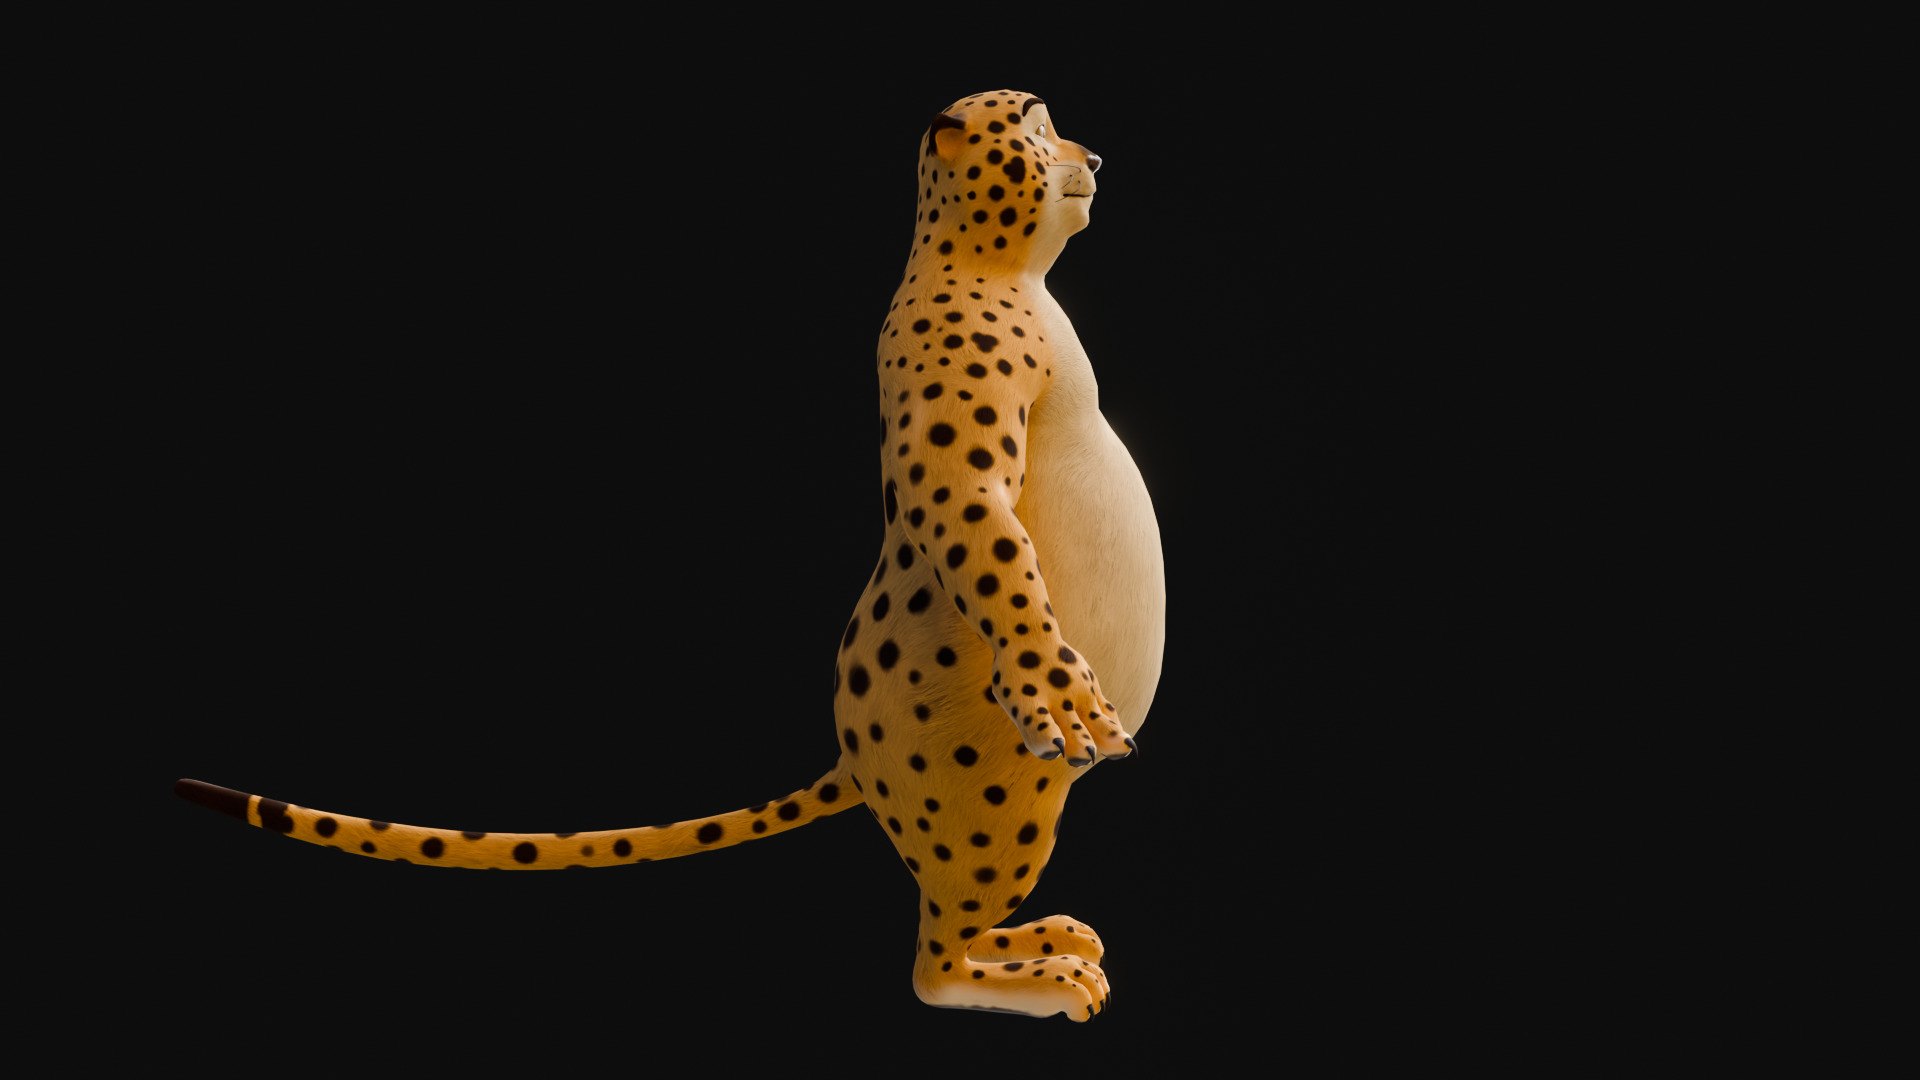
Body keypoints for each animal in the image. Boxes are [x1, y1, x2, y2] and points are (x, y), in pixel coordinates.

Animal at [176, 89, 1166, 1022]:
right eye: (1036, 124)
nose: (1093, 157)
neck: (996, 265)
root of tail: (851, 755)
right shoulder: (957, 458)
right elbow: (984, 540)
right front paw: (1054, 686)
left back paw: (1040, 936)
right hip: (1003, 803)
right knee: (933, 966)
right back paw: (1039, 971)